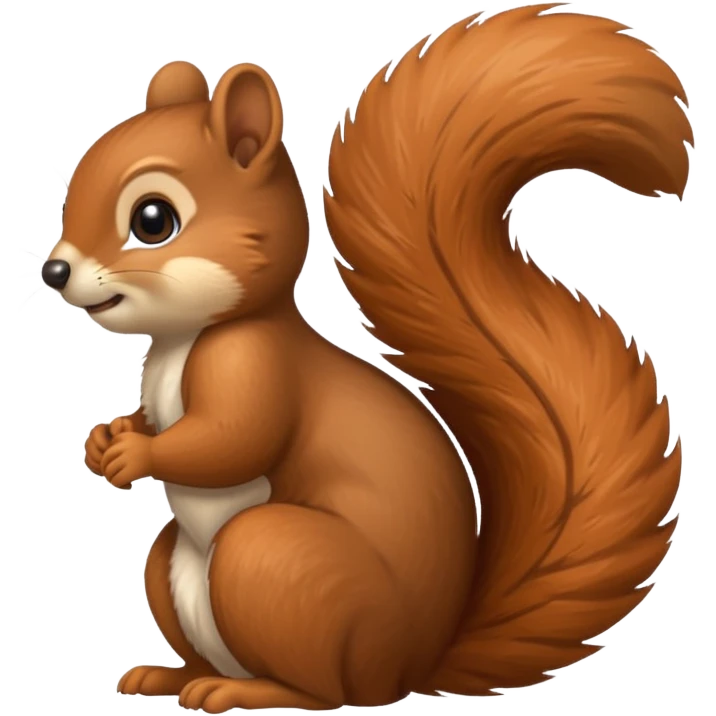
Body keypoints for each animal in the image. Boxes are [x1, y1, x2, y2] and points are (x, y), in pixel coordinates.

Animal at [42, 4, 690, 713]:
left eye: (152, 219)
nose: (54, 271)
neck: (185, 338)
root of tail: (413, 666)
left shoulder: (252, 363)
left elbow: (232, 438)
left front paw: (134, 454)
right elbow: (157, 421)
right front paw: (107, 438)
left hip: (272, 560)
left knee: (325, 689)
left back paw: (245, 690)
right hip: (172, 567)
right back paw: (168, 676)